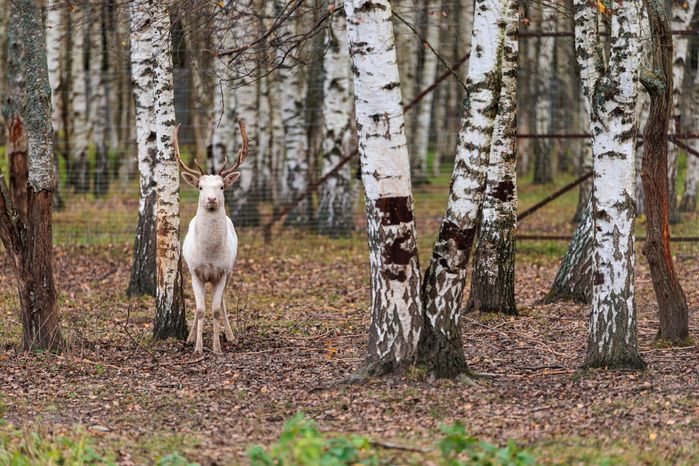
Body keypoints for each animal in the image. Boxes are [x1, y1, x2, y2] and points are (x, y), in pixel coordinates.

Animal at [174, 120, 248, 354]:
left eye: (222, 186)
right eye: (200, 187)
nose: (212, 199)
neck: (209, 254)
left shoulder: (222, 271)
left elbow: (215, 309)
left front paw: (216, 347)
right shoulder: (195, 271)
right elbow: (199, 310)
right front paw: (197, 347)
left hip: (231, 269)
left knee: (222, 302)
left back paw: (230, 335)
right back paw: (190, 337)